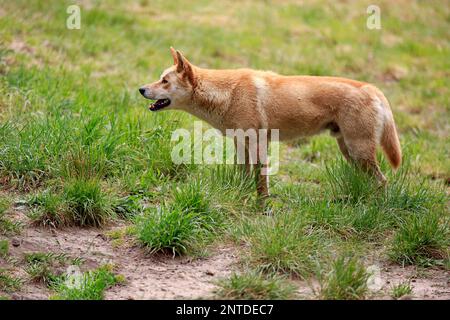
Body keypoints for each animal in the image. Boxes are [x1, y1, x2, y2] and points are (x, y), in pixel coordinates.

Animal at [138, 47, 400, 198]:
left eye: (164, 81)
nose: (140, 89)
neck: (227, 94)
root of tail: (372, 88)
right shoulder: (240, 145)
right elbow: (243, 176)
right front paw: (242, 196)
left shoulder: (258, 144)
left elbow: (260, 182)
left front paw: (262, 207)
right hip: (349, 152)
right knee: (370, 181)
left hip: (358, 151)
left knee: (383, 181)